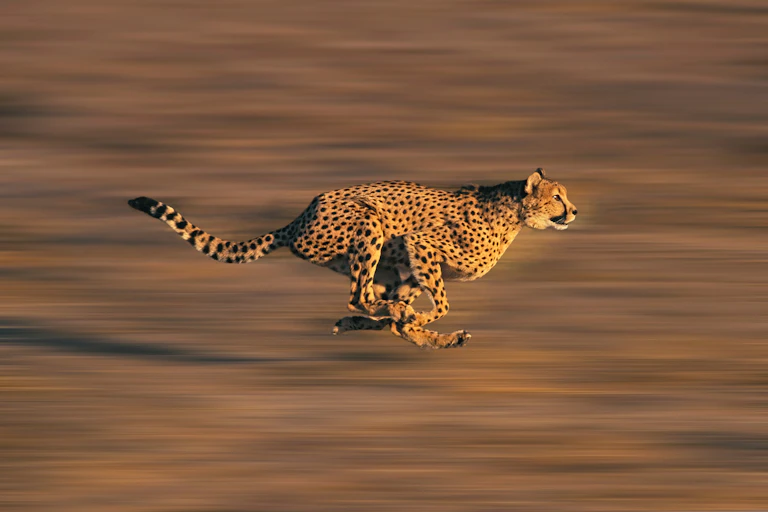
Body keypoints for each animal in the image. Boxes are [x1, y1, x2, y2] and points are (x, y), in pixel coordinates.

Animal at [128, 168, 577, 349]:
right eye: (557, 196)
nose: (574, 211)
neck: (514, 214)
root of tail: (302, 214)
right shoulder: (420, 243)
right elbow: (441, 303)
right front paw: (418, 319)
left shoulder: (410, 263)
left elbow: (411, 315)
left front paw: (419, 327)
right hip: (369, 223)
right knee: (359, 297)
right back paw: (390, 318)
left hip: (384, 260)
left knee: (370, 304)